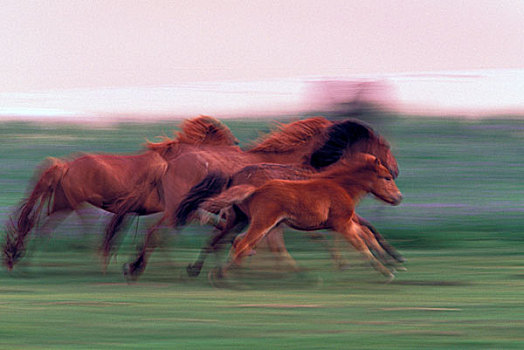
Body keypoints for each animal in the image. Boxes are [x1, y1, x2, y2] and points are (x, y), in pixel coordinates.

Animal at [1, 115, 239, 270]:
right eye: (223, 135)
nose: (237, 146)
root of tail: (65, 166)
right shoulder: (172, 208)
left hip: (63, 204)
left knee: (41, 228)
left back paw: (23, 259)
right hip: (75, 205)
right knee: (62, 229)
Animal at [194, 154, 404, 280]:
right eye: (387, 177)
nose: (399, 197)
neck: (339, 186)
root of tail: (255, 189)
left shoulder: (344, 224)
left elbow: (367, 235)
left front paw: (391, 261)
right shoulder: (343, 225)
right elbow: (362, 243)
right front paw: (387, 270)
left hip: (258, 223)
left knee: (235, 241)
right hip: (263, 224)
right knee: (243, 243)